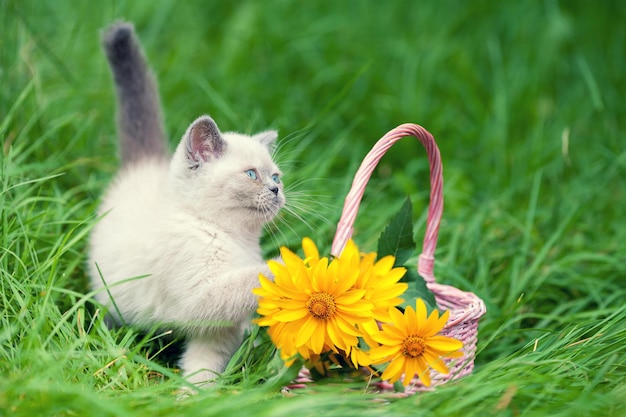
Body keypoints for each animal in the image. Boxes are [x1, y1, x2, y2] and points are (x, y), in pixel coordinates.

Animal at [88, 21, 282, 386]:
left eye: (276, 176)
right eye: (251, 174)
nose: (277, 190)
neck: (234, 239)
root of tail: (145, 164)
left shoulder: (217, 330)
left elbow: (204, 364)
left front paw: (195, 393)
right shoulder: (201, 295)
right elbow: (249, 280)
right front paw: (295, 264)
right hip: (112, 294)